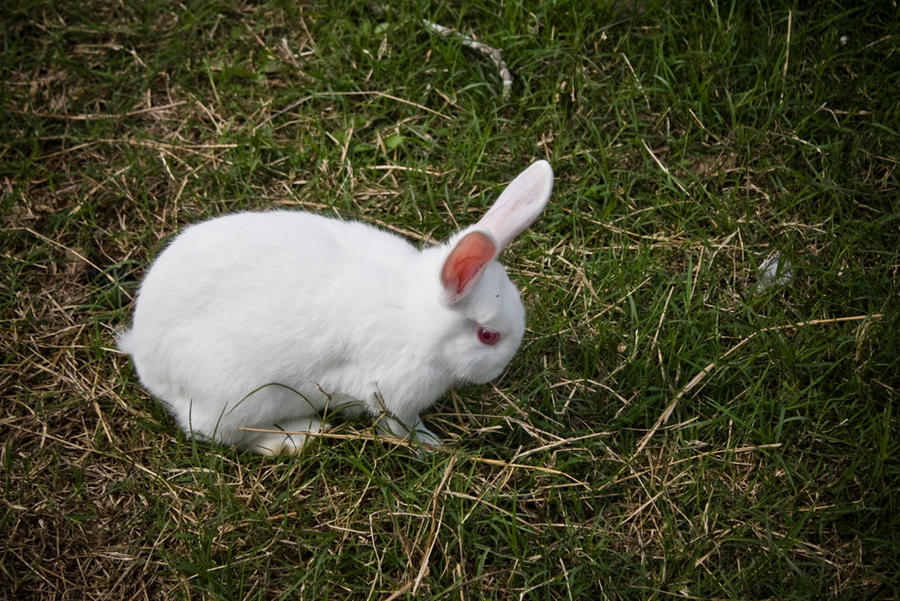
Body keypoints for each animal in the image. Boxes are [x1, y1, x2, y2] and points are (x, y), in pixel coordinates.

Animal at [118, 160, 553, 455]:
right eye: (487, 335)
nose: (502, 368)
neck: (414, 321)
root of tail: (147, 360)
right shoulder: (392, 394)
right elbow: (400, 427)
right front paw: (433, 445)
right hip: (240, 395)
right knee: (218, 432)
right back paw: (300, 437)